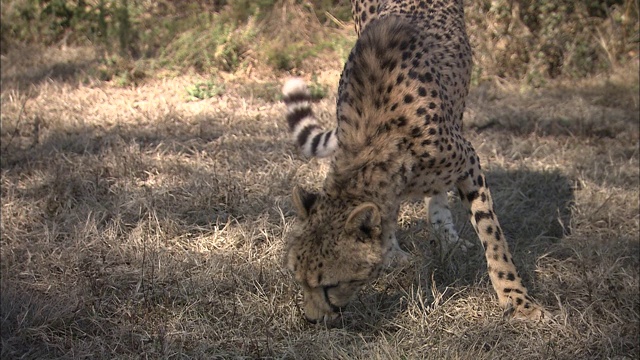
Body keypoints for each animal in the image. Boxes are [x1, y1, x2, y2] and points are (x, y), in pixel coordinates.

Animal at [280, 0, 544, 324]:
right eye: (298, 278)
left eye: (330, 285)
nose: (311, 319)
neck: (372, 140)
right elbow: (387, 216)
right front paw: (393, 254)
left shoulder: (469, 161)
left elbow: (493, 237)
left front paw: (517, 300)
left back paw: (448, 236)